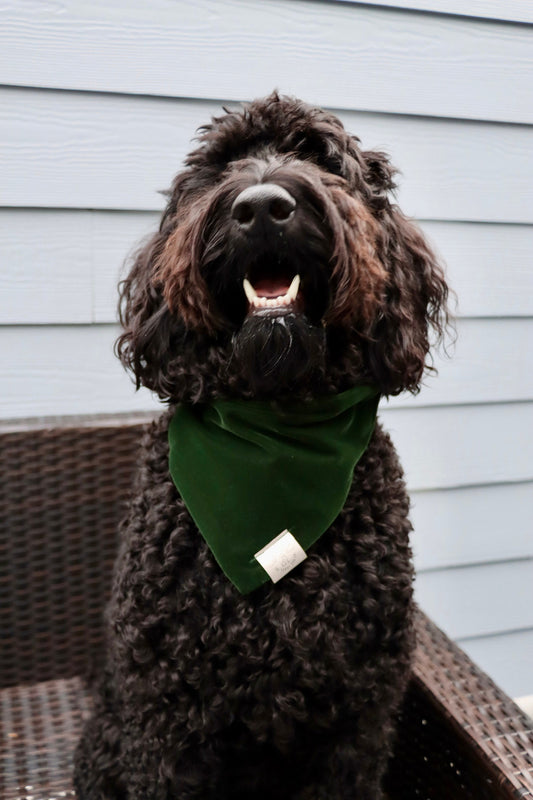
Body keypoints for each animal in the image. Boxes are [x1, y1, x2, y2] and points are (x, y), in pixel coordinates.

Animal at [72, 92, 446, 800]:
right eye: (223, 165)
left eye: (319, 158)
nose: (263, 206)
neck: (276, 429)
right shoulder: (165, 721)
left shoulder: (357, 719)